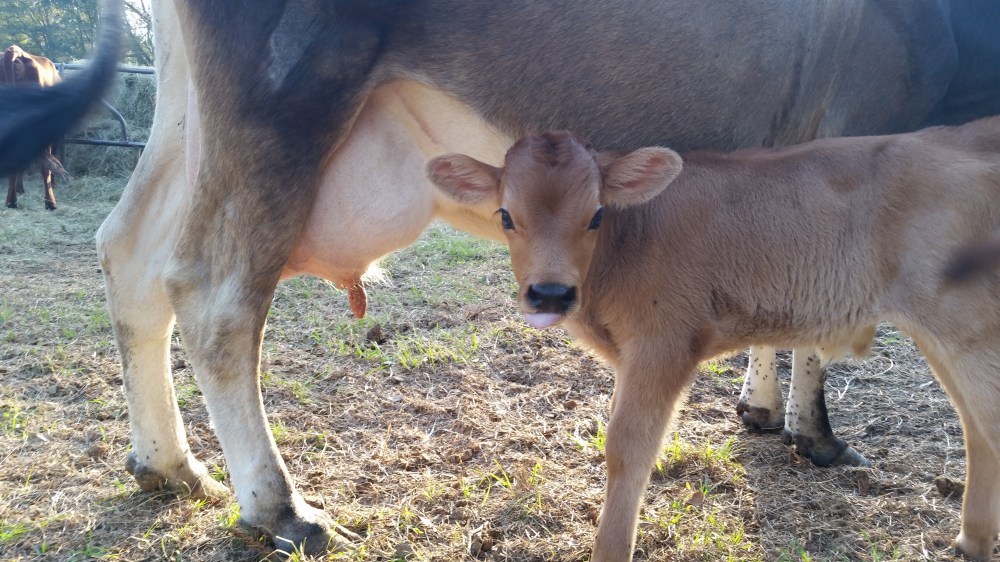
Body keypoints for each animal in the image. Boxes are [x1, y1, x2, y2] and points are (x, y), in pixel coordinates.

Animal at [426, 124, 1000, 561]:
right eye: (505, 215)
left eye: (596, 214)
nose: (549, 293)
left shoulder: (664, 344)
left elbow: (627, 448)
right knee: (976, 428)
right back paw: (971, 540)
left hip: (965, 325)